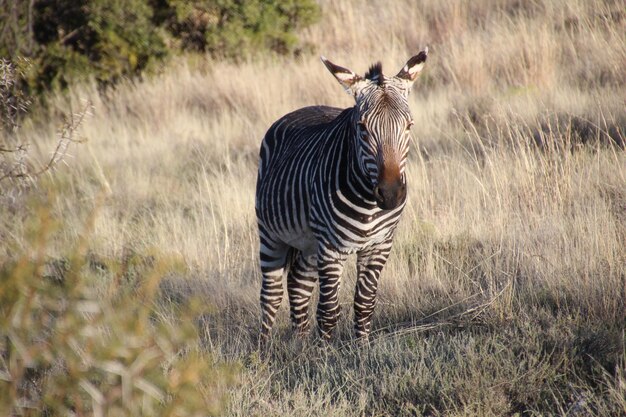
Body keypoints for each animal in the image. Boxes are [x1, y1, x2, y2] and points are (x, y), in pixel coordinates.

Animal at [256, 48, 426, 342]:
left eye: (409, 126)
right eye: (362, 127)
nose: (391, 195)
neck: (368, 203)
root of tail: (303, 109)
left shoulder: (380, 245)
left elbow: (364, 303)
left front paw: (362, 348)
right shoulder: (331, 248)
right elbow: (328, 310)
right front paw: (324, 353)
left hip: (309, 243)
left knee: (298, 285)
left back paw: (299, 344)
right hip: (271, 233)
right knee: (271, 294)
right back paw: (263, 348)